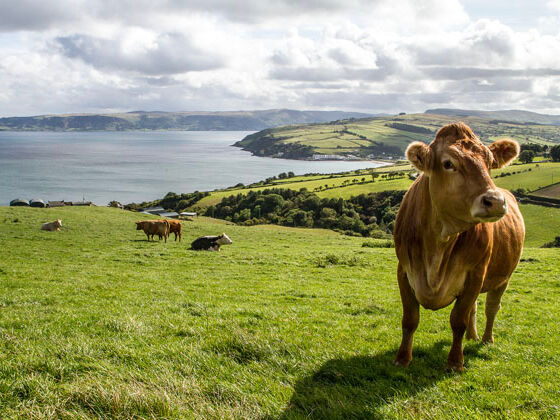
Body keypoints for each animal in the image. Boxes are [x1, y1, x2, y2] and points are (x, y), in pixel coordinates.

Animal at [394, 121, 524, 370]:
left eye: (490, 163)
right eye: (448, 163)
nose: (495, 201)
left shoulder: (475, 273)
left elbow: (458, 320)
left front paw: (455, 362)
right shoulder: (404, 270)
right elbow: (410, 319)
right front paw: (402, 359)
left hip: (504, 277)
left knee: (491, 307)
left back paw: (486, 339)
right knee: (475, 307)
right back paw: (473, 337)